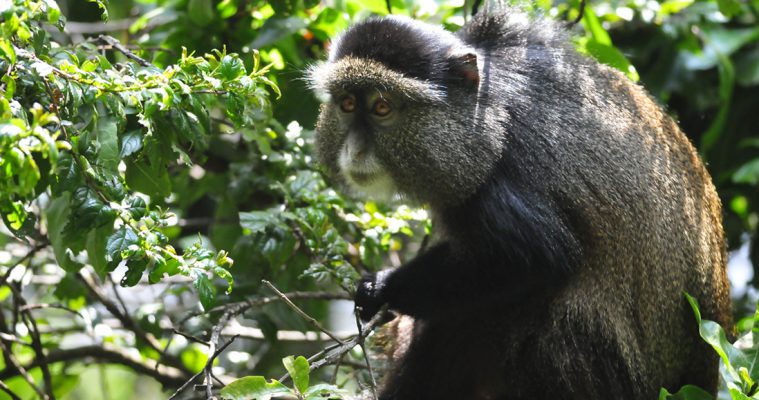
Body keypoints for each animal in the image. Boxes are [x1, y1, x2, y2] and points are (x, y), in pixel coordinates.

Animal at [306, 6, 732, 400]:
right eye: (346, 104)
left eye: (382, 107)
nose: (355, 150)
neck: (484, 114)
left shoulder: (501, 185)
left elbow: (535, 259)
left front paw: (382, 288)